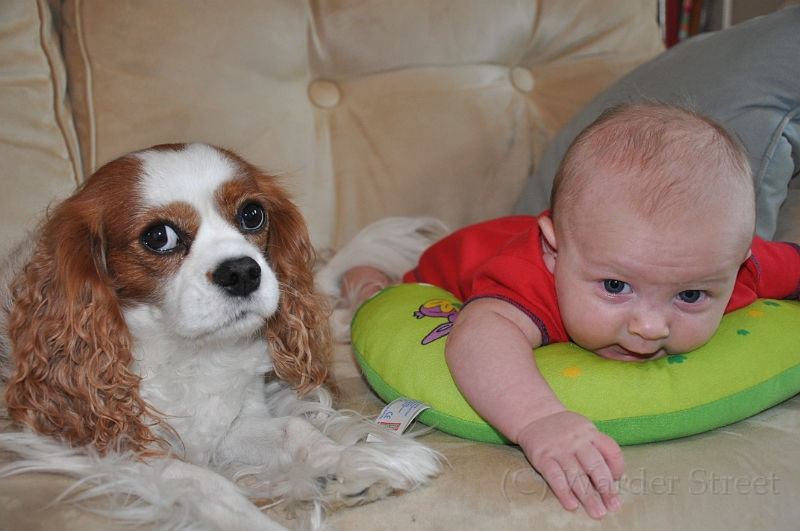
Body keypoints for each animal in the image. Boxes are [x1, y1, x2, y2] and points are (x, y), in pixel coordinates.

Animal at [0, 143, 440, 530]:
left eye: (252, 215)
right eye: (158, 237)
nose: (242, 271)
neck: (188, 351)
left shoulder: (233, 425)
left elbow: (297, 430)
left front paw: (350, 463)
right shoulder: (116, 447)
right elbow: (208, 484)